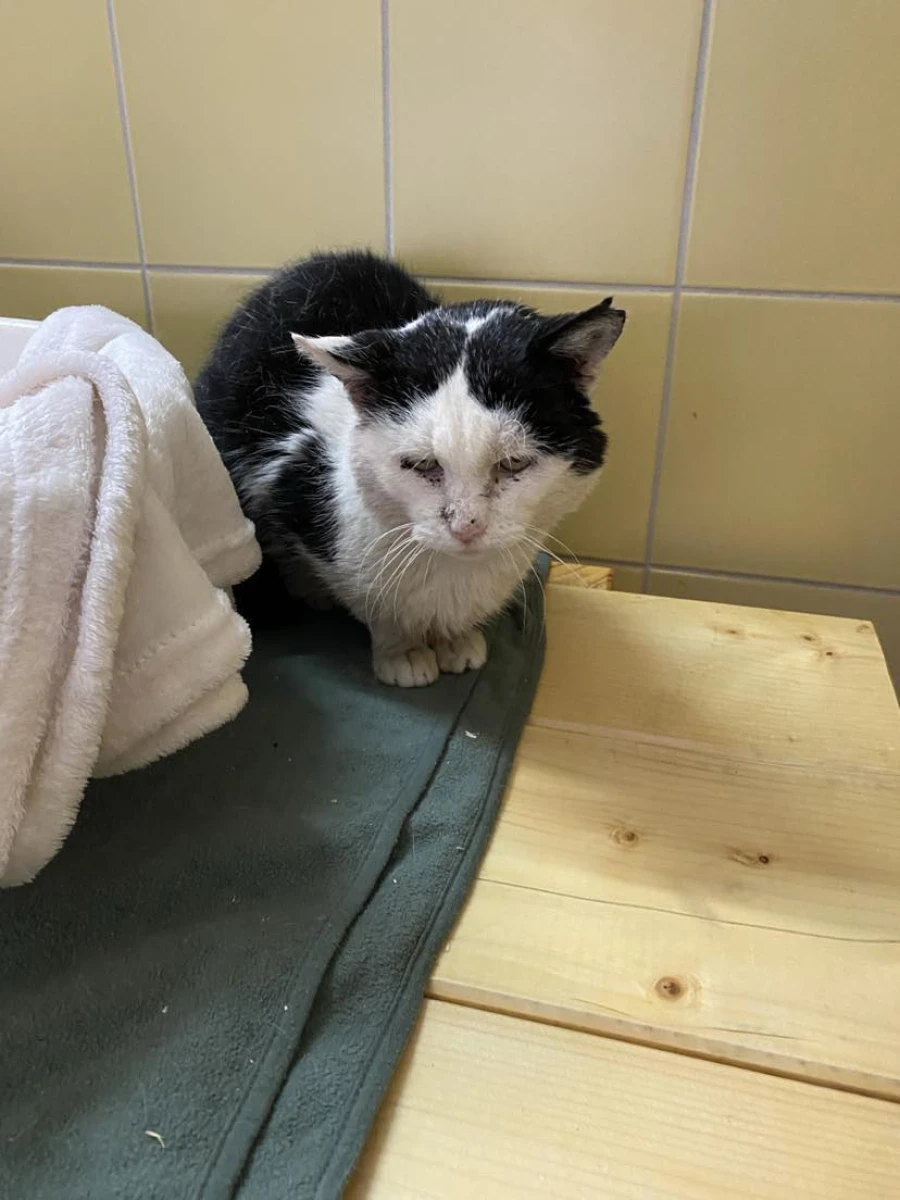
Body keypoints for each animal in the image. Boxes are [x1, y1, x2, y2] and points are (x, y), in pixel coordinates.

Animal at [194, 251, 625, 687]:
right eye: (421, 464)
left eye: (514, 462)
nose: (466, 527)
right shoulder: (289, 474)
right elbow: (371, 600)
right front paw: (403, 651)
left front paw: (457, 639)